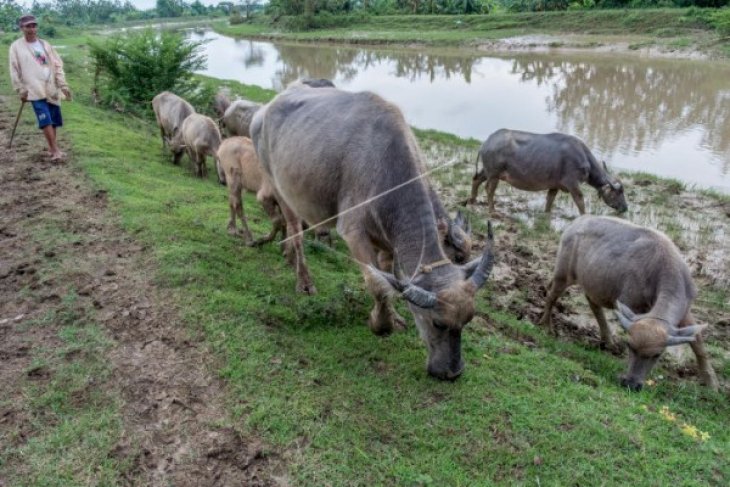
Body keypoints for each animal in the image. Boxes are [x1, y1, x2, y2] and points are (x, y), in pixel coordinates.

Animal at [250, 85, 494, 382]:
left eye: (468, 319)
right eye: (438, 323)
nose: (453, 372)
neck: (386, 168)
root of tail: (265, 109)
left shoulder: (388, 243)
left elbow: (390, 279)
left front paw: (395, 316)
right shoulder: (354, 233)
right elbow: (377, 283)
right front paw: (381, 324)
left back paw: (286, 255)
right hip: (279, 185)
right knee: (295, 230)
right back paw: (303, 280)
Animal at [466, 129, 624, 214]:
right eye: (618, 193)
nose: (625, 208)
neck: (583, 158)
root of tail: (487, 142)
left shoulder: (555, 185)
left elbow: (550, 199)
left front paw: (546, 214)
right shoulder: (572, 184)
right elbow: (580, 200)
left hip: (487, 171)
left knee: (476, 179)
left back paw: (472, 200)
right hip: (494, 174)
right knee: (489, 189)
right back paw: (492, 210)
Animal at [540, 215, 716, 390]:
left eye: (657, 354)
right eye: (630, 346)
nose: (631, 383)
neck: (661, 268)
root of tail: (577, 221)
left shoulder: (685, 311)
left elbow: (698, 343)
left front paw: (712, 383)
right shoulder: (631, 304)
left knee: (592, 303)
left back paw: (608, 341)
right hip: (563, 274)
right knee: (552, 295)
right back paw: (546, 325)